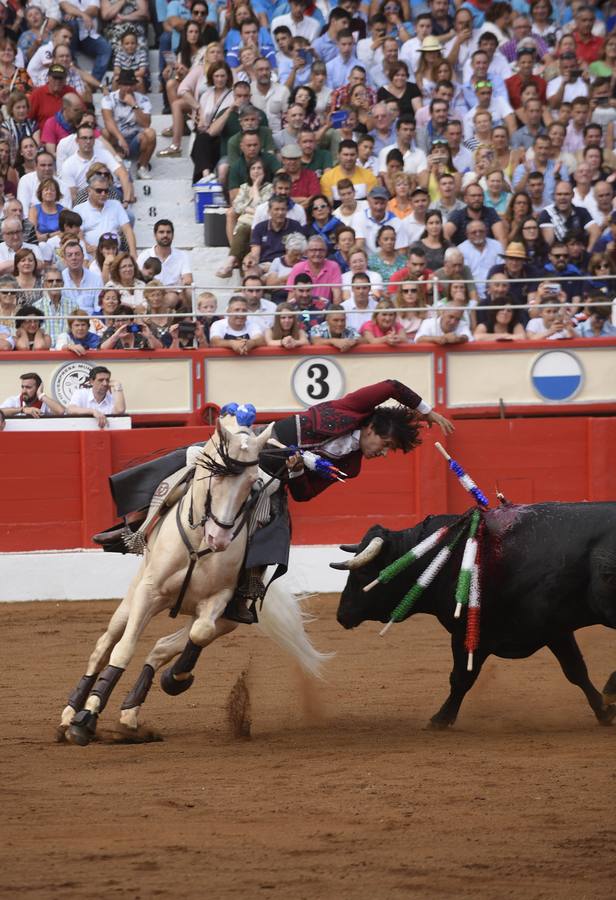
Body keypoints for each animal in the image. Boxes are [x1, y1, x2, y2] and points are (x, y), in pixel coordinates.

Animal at [61, 414, 332, 744]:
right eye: (215, 476)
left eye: (251, 484)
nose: (220, 538)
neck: (200, 539)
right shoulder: (149, 593)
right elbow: (123, 650)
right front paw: (85, 719)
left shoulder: (219, 600)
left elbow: (200, 634)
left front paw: (176, 679)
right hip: (131, 598)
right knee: (104, 647)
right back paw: (70, 714)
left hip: (228, 620)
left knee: (162, 646)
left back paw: (130, 713)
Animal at [332, 502, 616, 728]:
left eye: (363, 572)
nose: (341, 614)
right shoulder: (554, 629)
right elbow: (576, 671)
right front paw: (603, 710)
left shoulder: (466, 632)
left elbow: (461, 678)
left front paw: (440, 719)